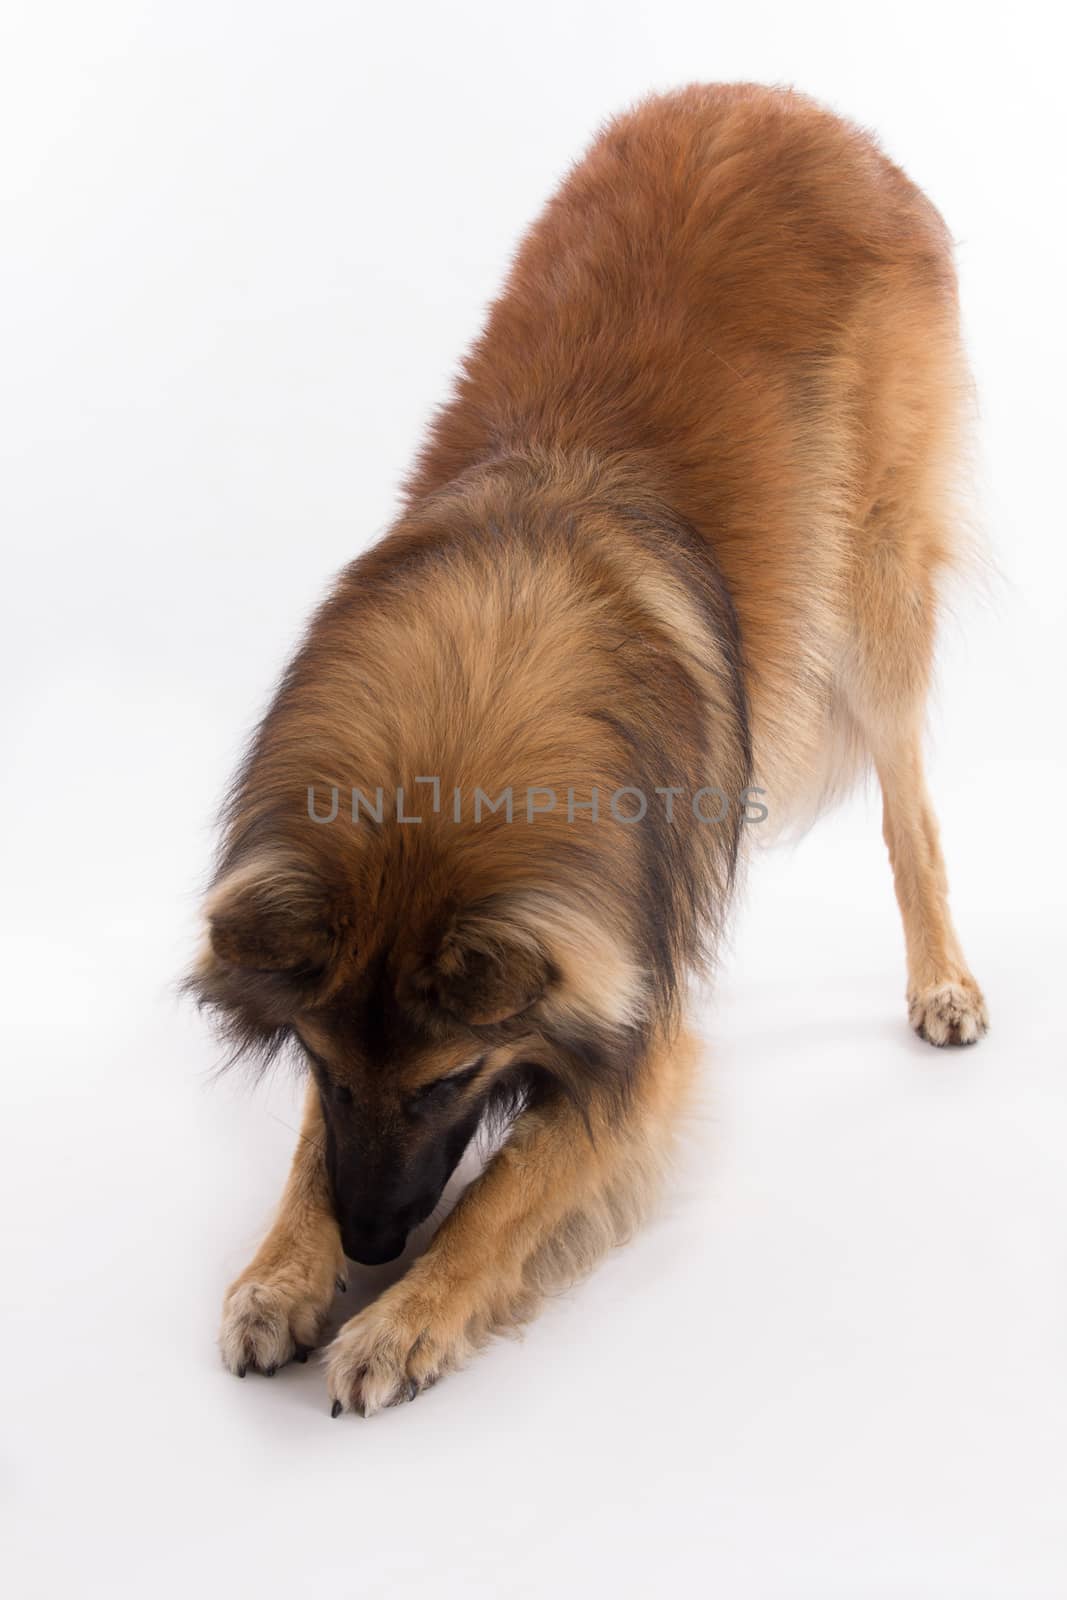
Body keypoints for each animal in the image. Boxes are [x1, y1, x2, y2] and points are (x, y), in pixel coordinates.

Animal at [187, 81, 991, 1420]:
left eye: (448, 1080)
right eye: (319, 1061)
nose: (370, 1246)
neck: (461, 704)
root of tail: (787, 103)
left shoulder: (637, 1047)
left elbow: (509, 1191)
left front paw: (403, 1317)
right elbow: (306, 1149)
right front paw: (280, 1268)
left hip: (874, 577)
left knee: (907, 797)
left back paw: (941, 980)